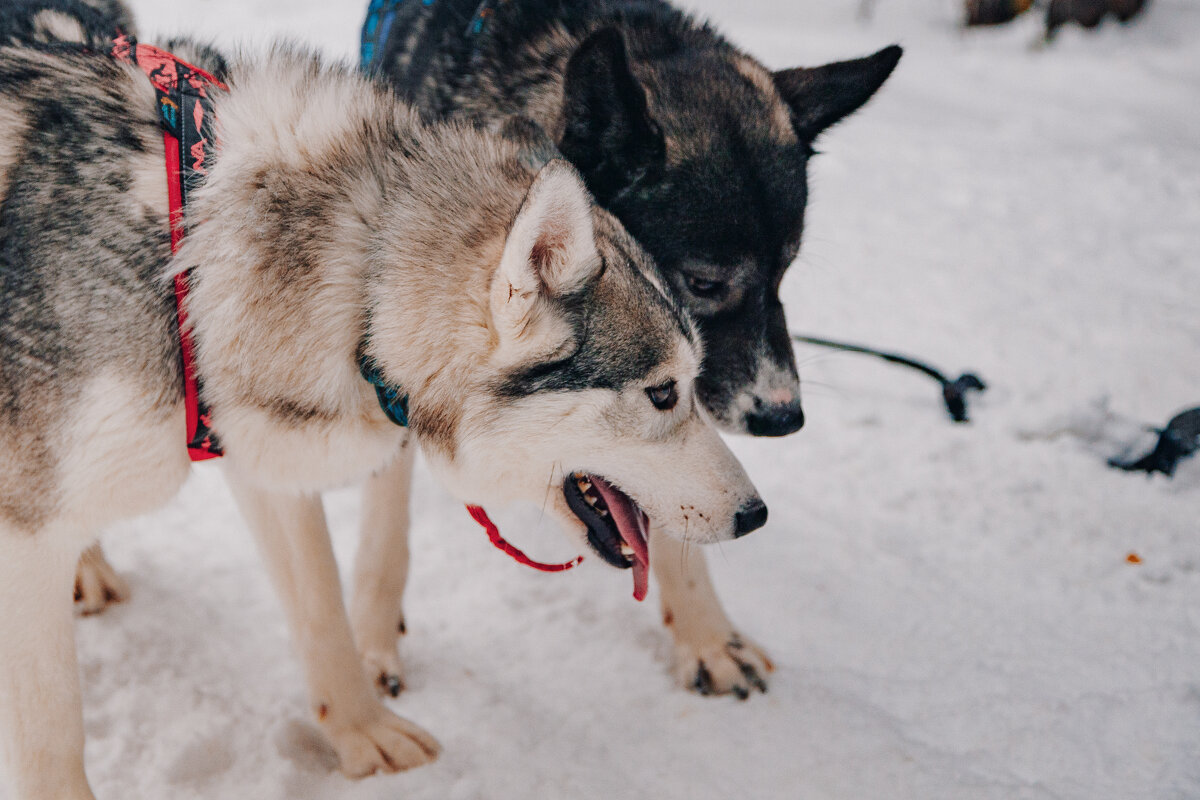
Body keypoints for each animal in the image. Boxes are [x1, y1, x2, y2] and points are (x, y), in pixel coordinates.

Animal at [0, 45, 763, 800]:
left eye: (691, 383)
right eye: (662, 393)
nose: (756, 516)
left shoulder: (254, 455)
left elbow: (323, 612)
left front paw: (363, 736)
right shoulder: (26, 536)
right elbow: (53, 730)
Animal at [350, 0, 902, 695]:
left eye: (786, 271)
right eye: (704, 283)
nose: (784, 416)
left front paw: (708, 635)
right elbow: (383, 523)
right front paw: (369, 645)